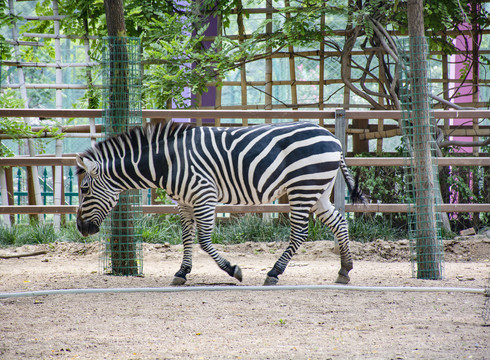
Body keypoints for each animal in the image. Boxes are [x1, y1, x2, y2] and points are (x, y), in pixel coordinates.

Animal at [76, 122, 366, 286]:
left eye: (84, 188)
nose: (80, 228)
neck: (169, 162)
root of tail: (334, 138)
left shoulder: (204, 195)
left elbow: (204, 240)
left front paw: (233, 270)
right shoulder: (184, 202)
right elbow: (187, 238)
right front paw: (182, 272)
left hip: (303, 188)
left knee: (300, 233)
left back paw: (274, 272)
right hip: (318, 190)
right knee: (339, 222)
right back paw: (345, 270)